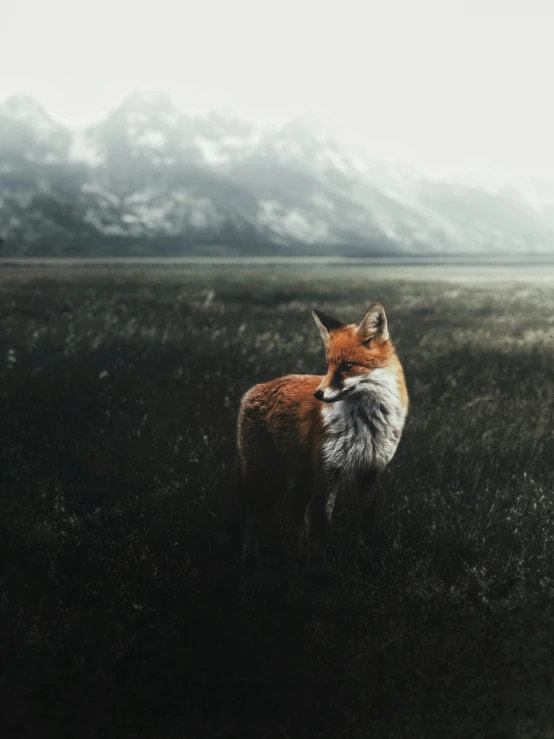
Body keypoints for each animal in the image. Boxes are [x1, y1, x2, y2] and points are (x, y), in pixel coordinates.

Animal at [222, 304, 408, 564]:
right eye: (327, 366)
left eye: (347, 366)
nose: (318, 394)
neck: (365, 424)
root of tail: (255, 388)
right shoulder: (328, 471)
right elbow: (320, 528)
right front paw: (318, 568)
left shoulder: (372, 470)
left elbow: (364, 525)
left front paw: (364, 559)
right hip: (268, 478)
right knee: (253, 521)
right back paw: (251, 559)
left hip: (301, 479)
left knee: (295, 518)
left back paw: (298, 557)